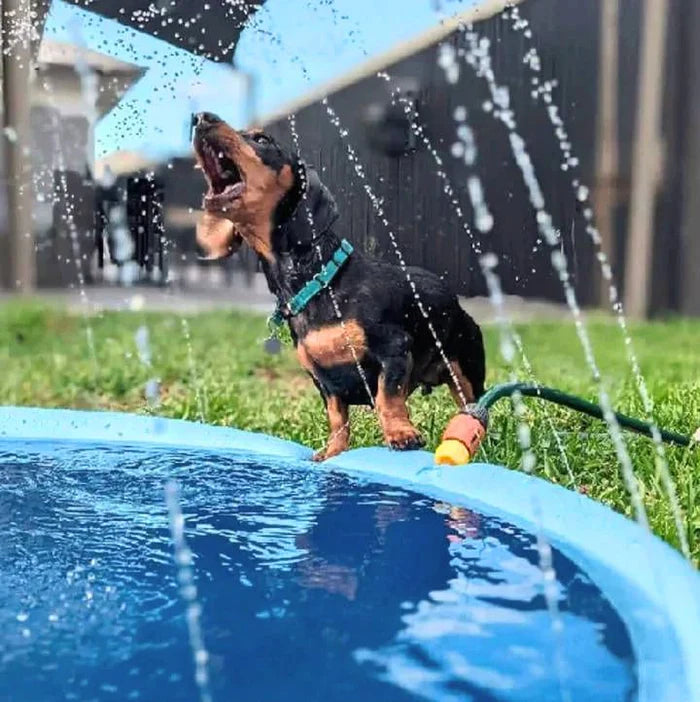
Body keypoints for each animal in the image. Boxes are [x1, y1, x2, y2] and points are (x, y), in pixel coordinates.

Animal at [191, 111, 486, 462]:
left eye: (263, 139)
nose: (200, 118)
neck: (320, 282)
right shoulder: (323, 380)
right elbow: (336, 418)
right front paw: (332, 453)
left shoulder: (394, 349)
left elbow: (387, 398)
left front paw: (401, 434)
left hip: (466, 371)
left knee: (474, 406)